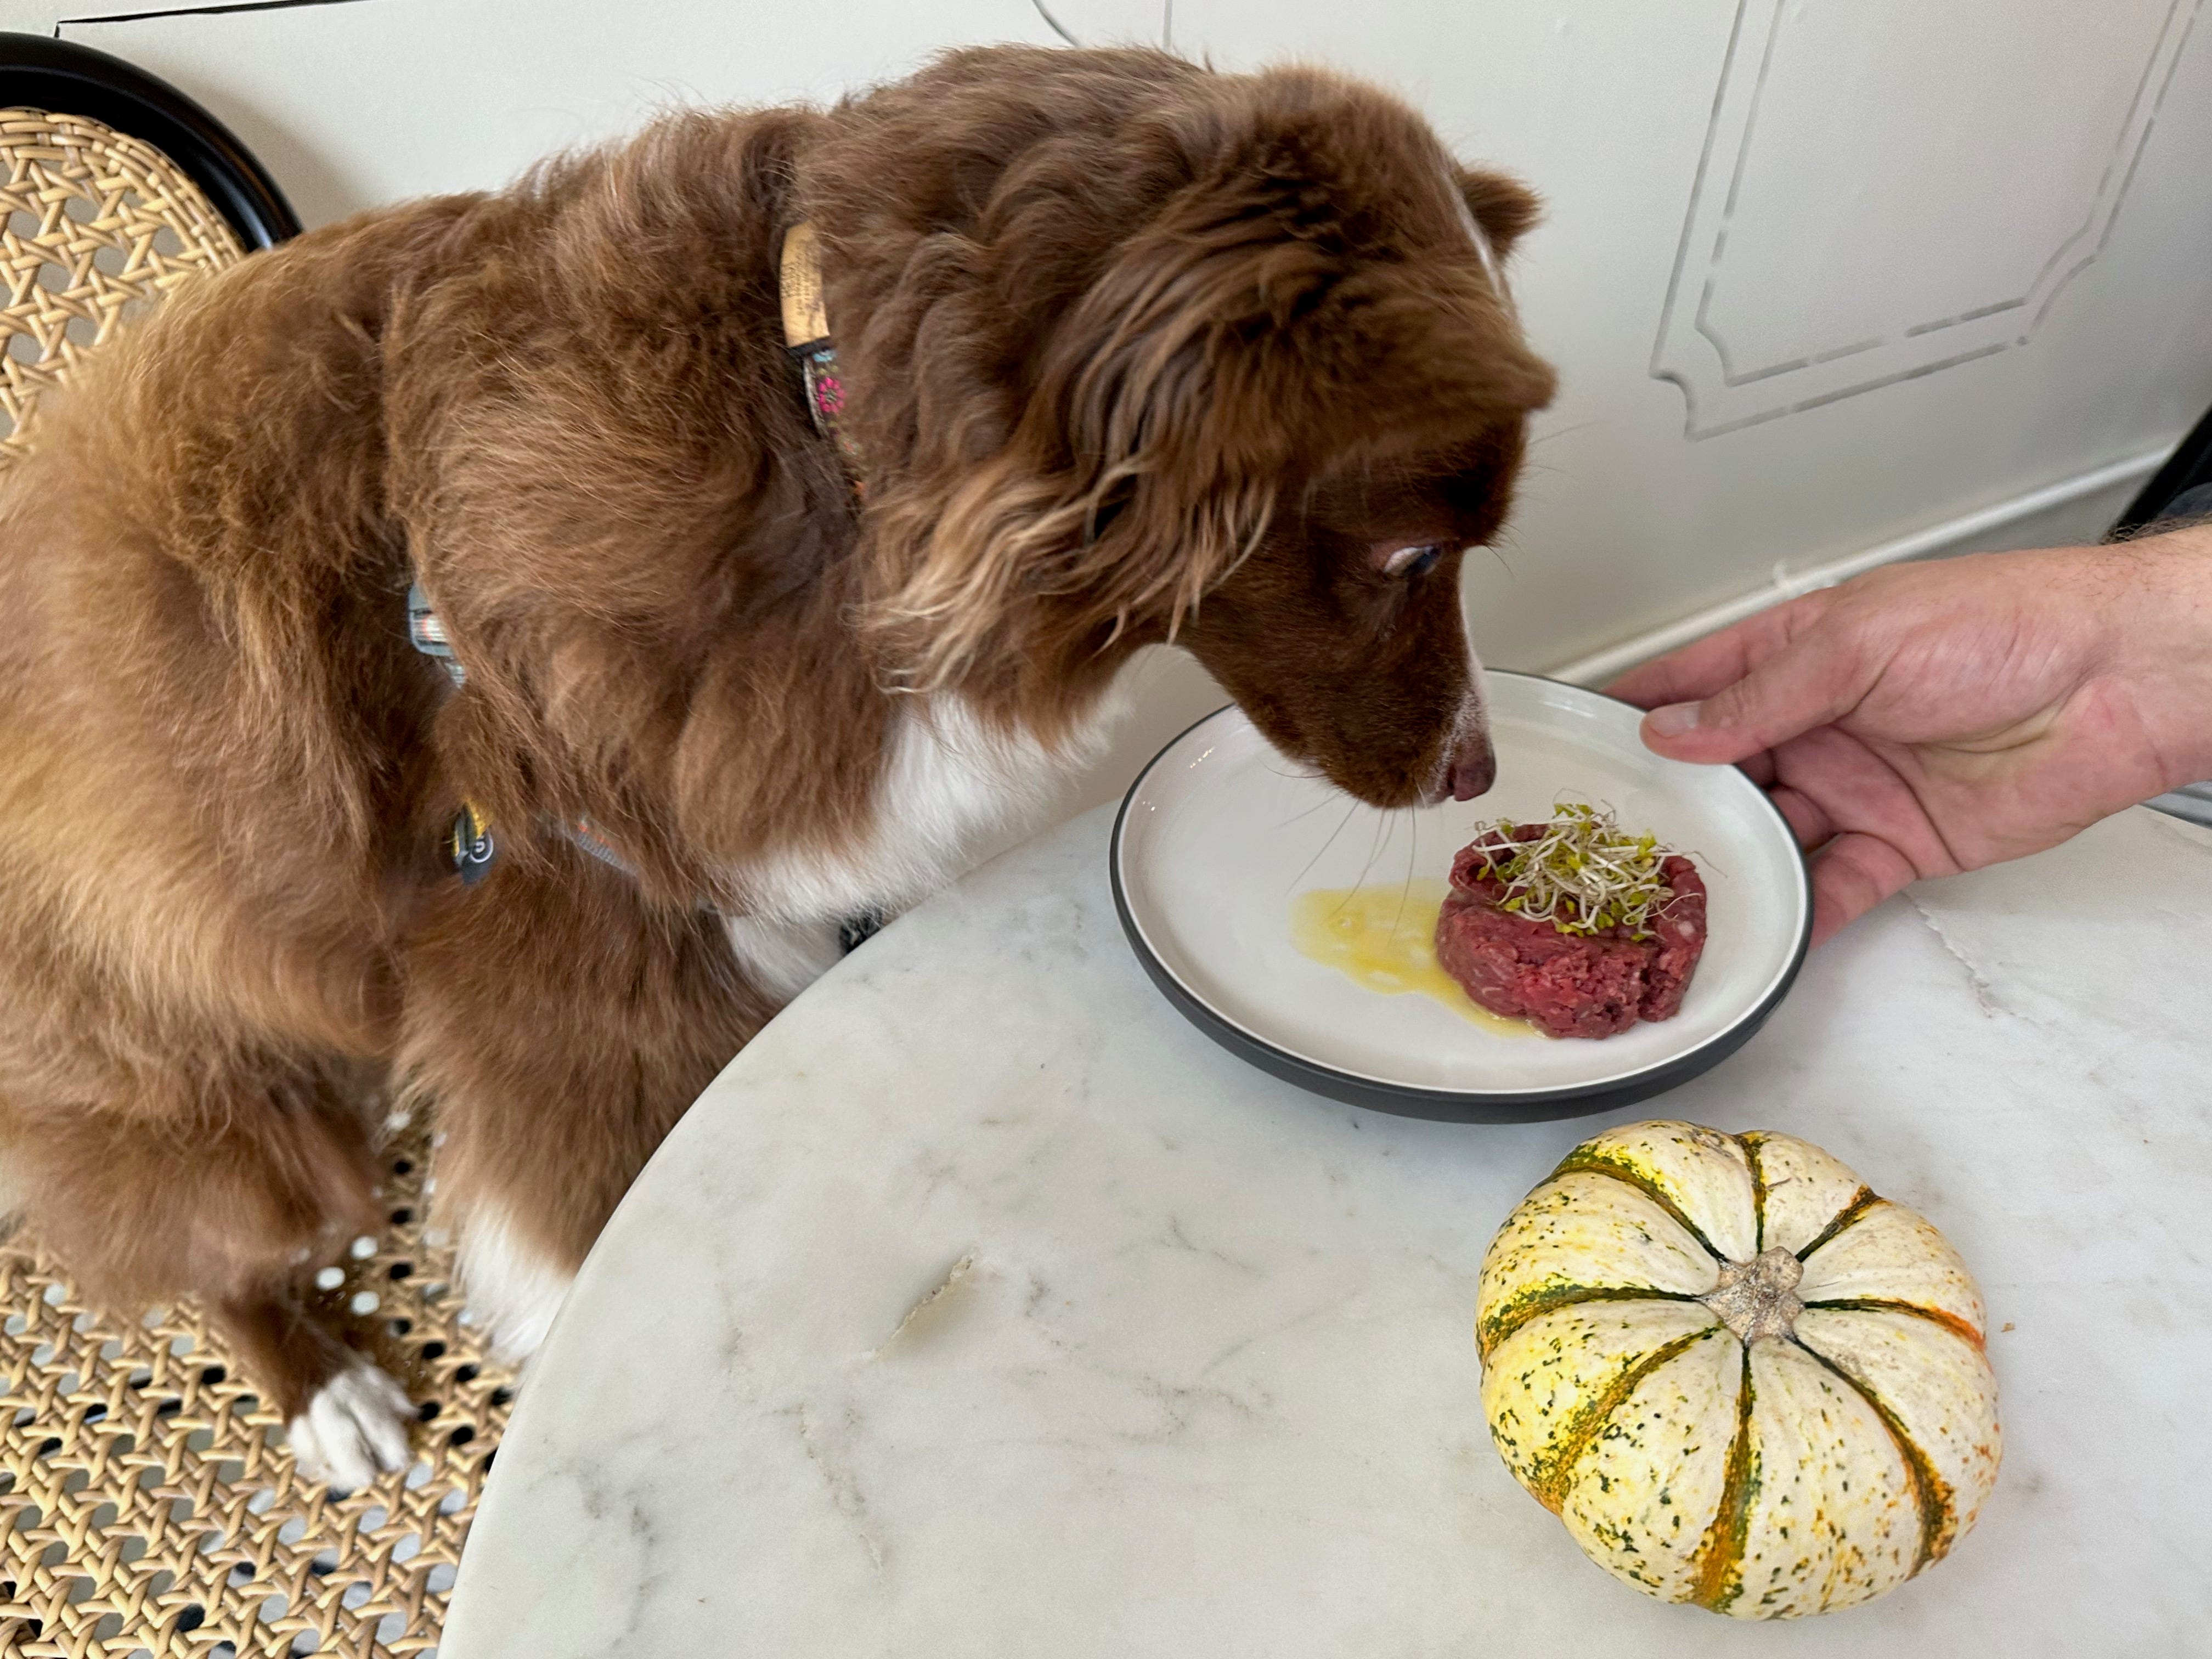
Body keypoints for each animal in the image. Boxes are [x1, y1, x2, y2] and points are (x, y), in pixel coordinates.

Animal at [0, 45, 1557, 1486]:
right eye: (1412, 555)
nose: (1479, 772)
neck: (826, 431)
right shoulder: (564, 967)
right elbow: (586, 1222)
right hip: (214, 1099)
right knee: (199, 1251)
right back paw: (323, 1389)